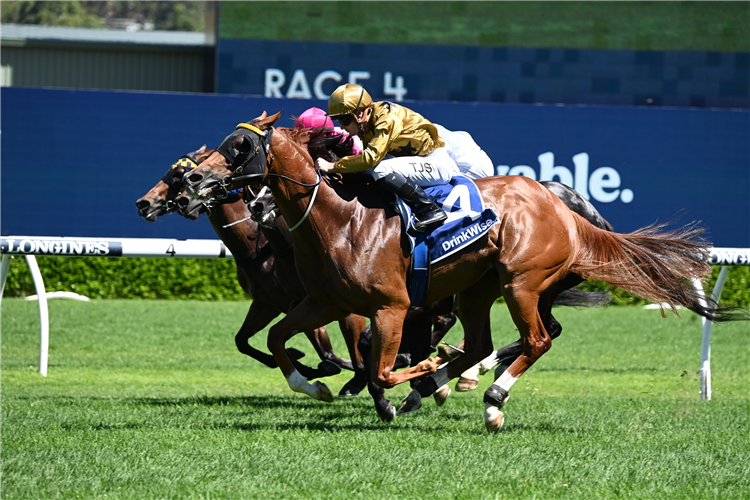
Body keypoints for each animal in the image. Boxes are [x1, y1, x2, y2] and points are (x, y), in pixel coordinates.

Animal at [136, 147, 360, 382]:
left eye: (180, 175)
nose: (144, 203)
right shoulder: (267, 303)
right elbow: (242, 341)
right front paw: (299, 359)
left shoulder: (315, 300)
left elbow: (332, 353)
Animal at [185, 112, 741, 432]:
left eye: (237, 147)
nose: (194, 178)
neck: (340, 219)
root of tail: (567, 209)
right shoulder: (324, 301)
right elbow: (281, 339)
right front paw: (315, 384)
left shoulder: (394, 306)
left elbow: (379, 365)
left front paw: (411, 379)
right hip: (481, 289)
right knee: (484, 342)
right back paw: (448, 380)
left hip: (521, 282)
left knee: (538, 338)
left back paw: (489, 396)